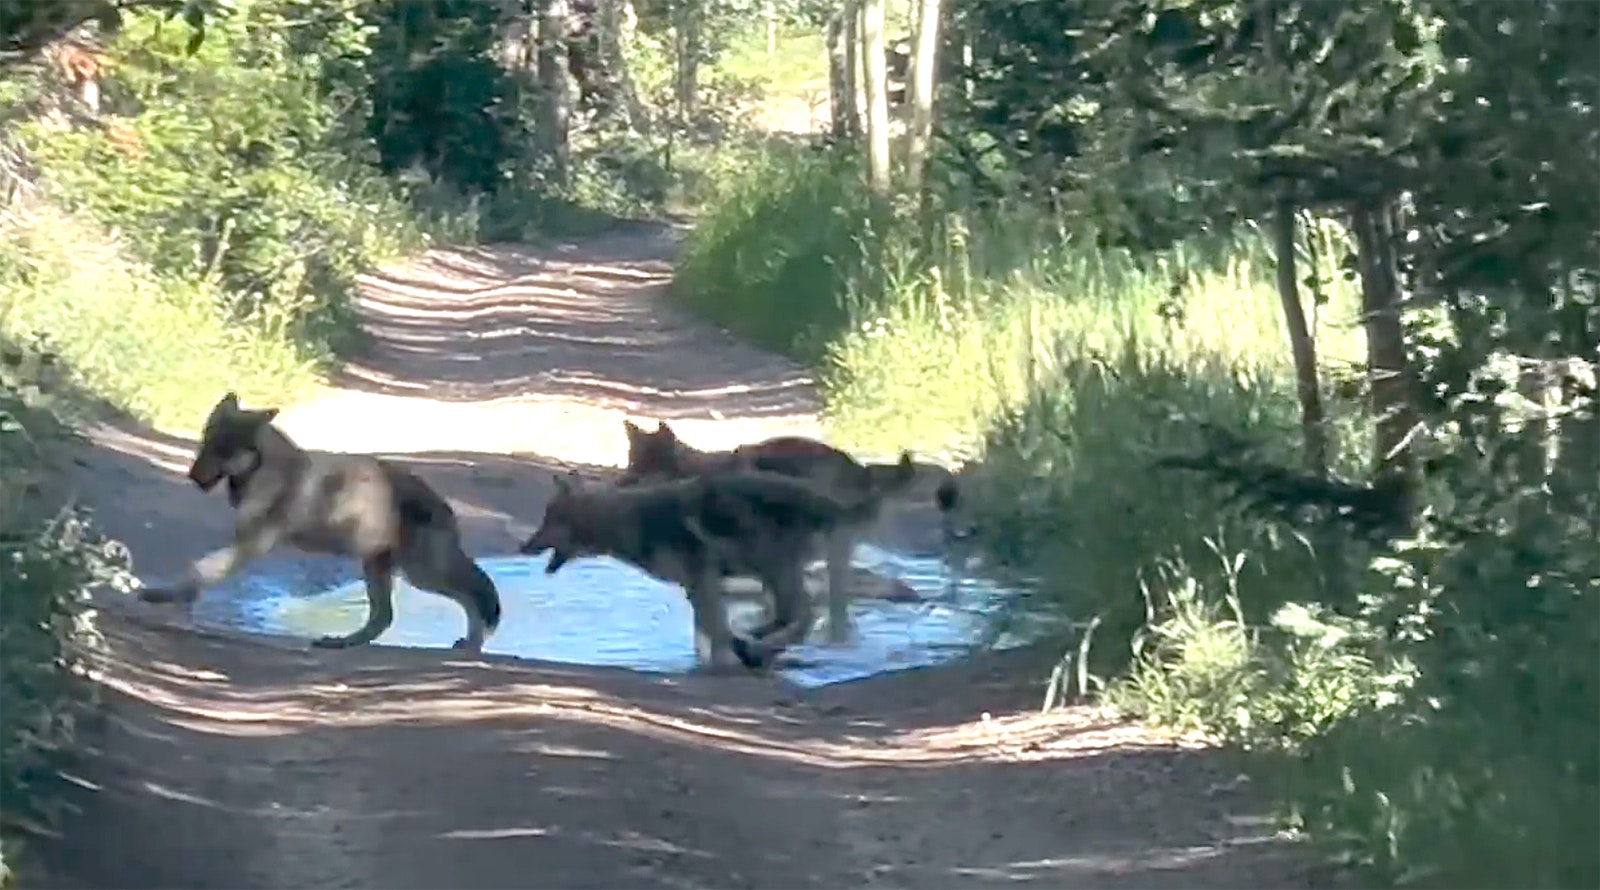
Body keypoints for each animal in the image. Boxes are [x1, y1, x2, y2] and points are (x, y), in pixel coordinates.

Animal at [137, 392, 499, 649]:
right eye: (205, 443)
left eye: (224, 450)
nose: (193, 477)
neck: (263, 468)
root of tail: (441, 502)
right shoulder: (242, 543)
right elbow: (201, 571)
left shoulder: (251, 545)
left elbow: (200, 570)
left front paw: (167, 597)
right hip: (379, 568)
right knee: (384, 617)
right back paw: (340, 643)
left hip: (421, 574)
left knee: (474, 593)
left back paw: (473, 643)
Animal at [518, 470, 908, 672]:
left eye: (549, 520)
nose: (522, 546)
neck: (623, 520)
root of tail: (822, 499)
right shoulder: (696, 588)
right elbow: (711, 630)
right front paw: (726, 657)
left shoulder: (703, 582)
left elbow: (716, 631)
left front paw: (727, 660)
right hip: (773, 573)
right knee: (794, 616)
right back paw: (758, 644)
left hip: (775, 568)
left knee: (804, 615)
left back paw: (758, 646)